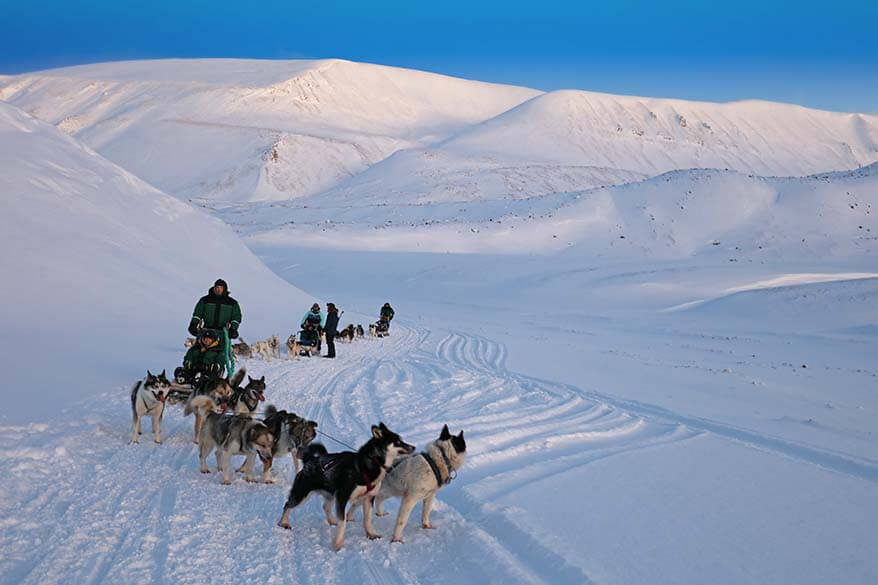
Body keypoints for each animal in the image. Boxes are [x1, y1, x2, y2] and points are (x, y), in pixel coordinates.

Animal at [282, 422, 420, 548]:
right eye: (397, 441)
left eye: (401, 440)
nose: (413, 447)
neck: (371, 463)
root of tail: (309, 461)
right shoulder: (342, 498)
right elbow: (343, 522)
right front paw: (338, 543)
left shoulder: (368, 498)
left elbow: (368, 519)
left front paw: (371, 534)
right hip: (301, 495)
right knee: (287, 504)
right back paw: (283, 522)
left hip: (330, 494)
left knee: (325, 506)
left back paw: (332, 520)